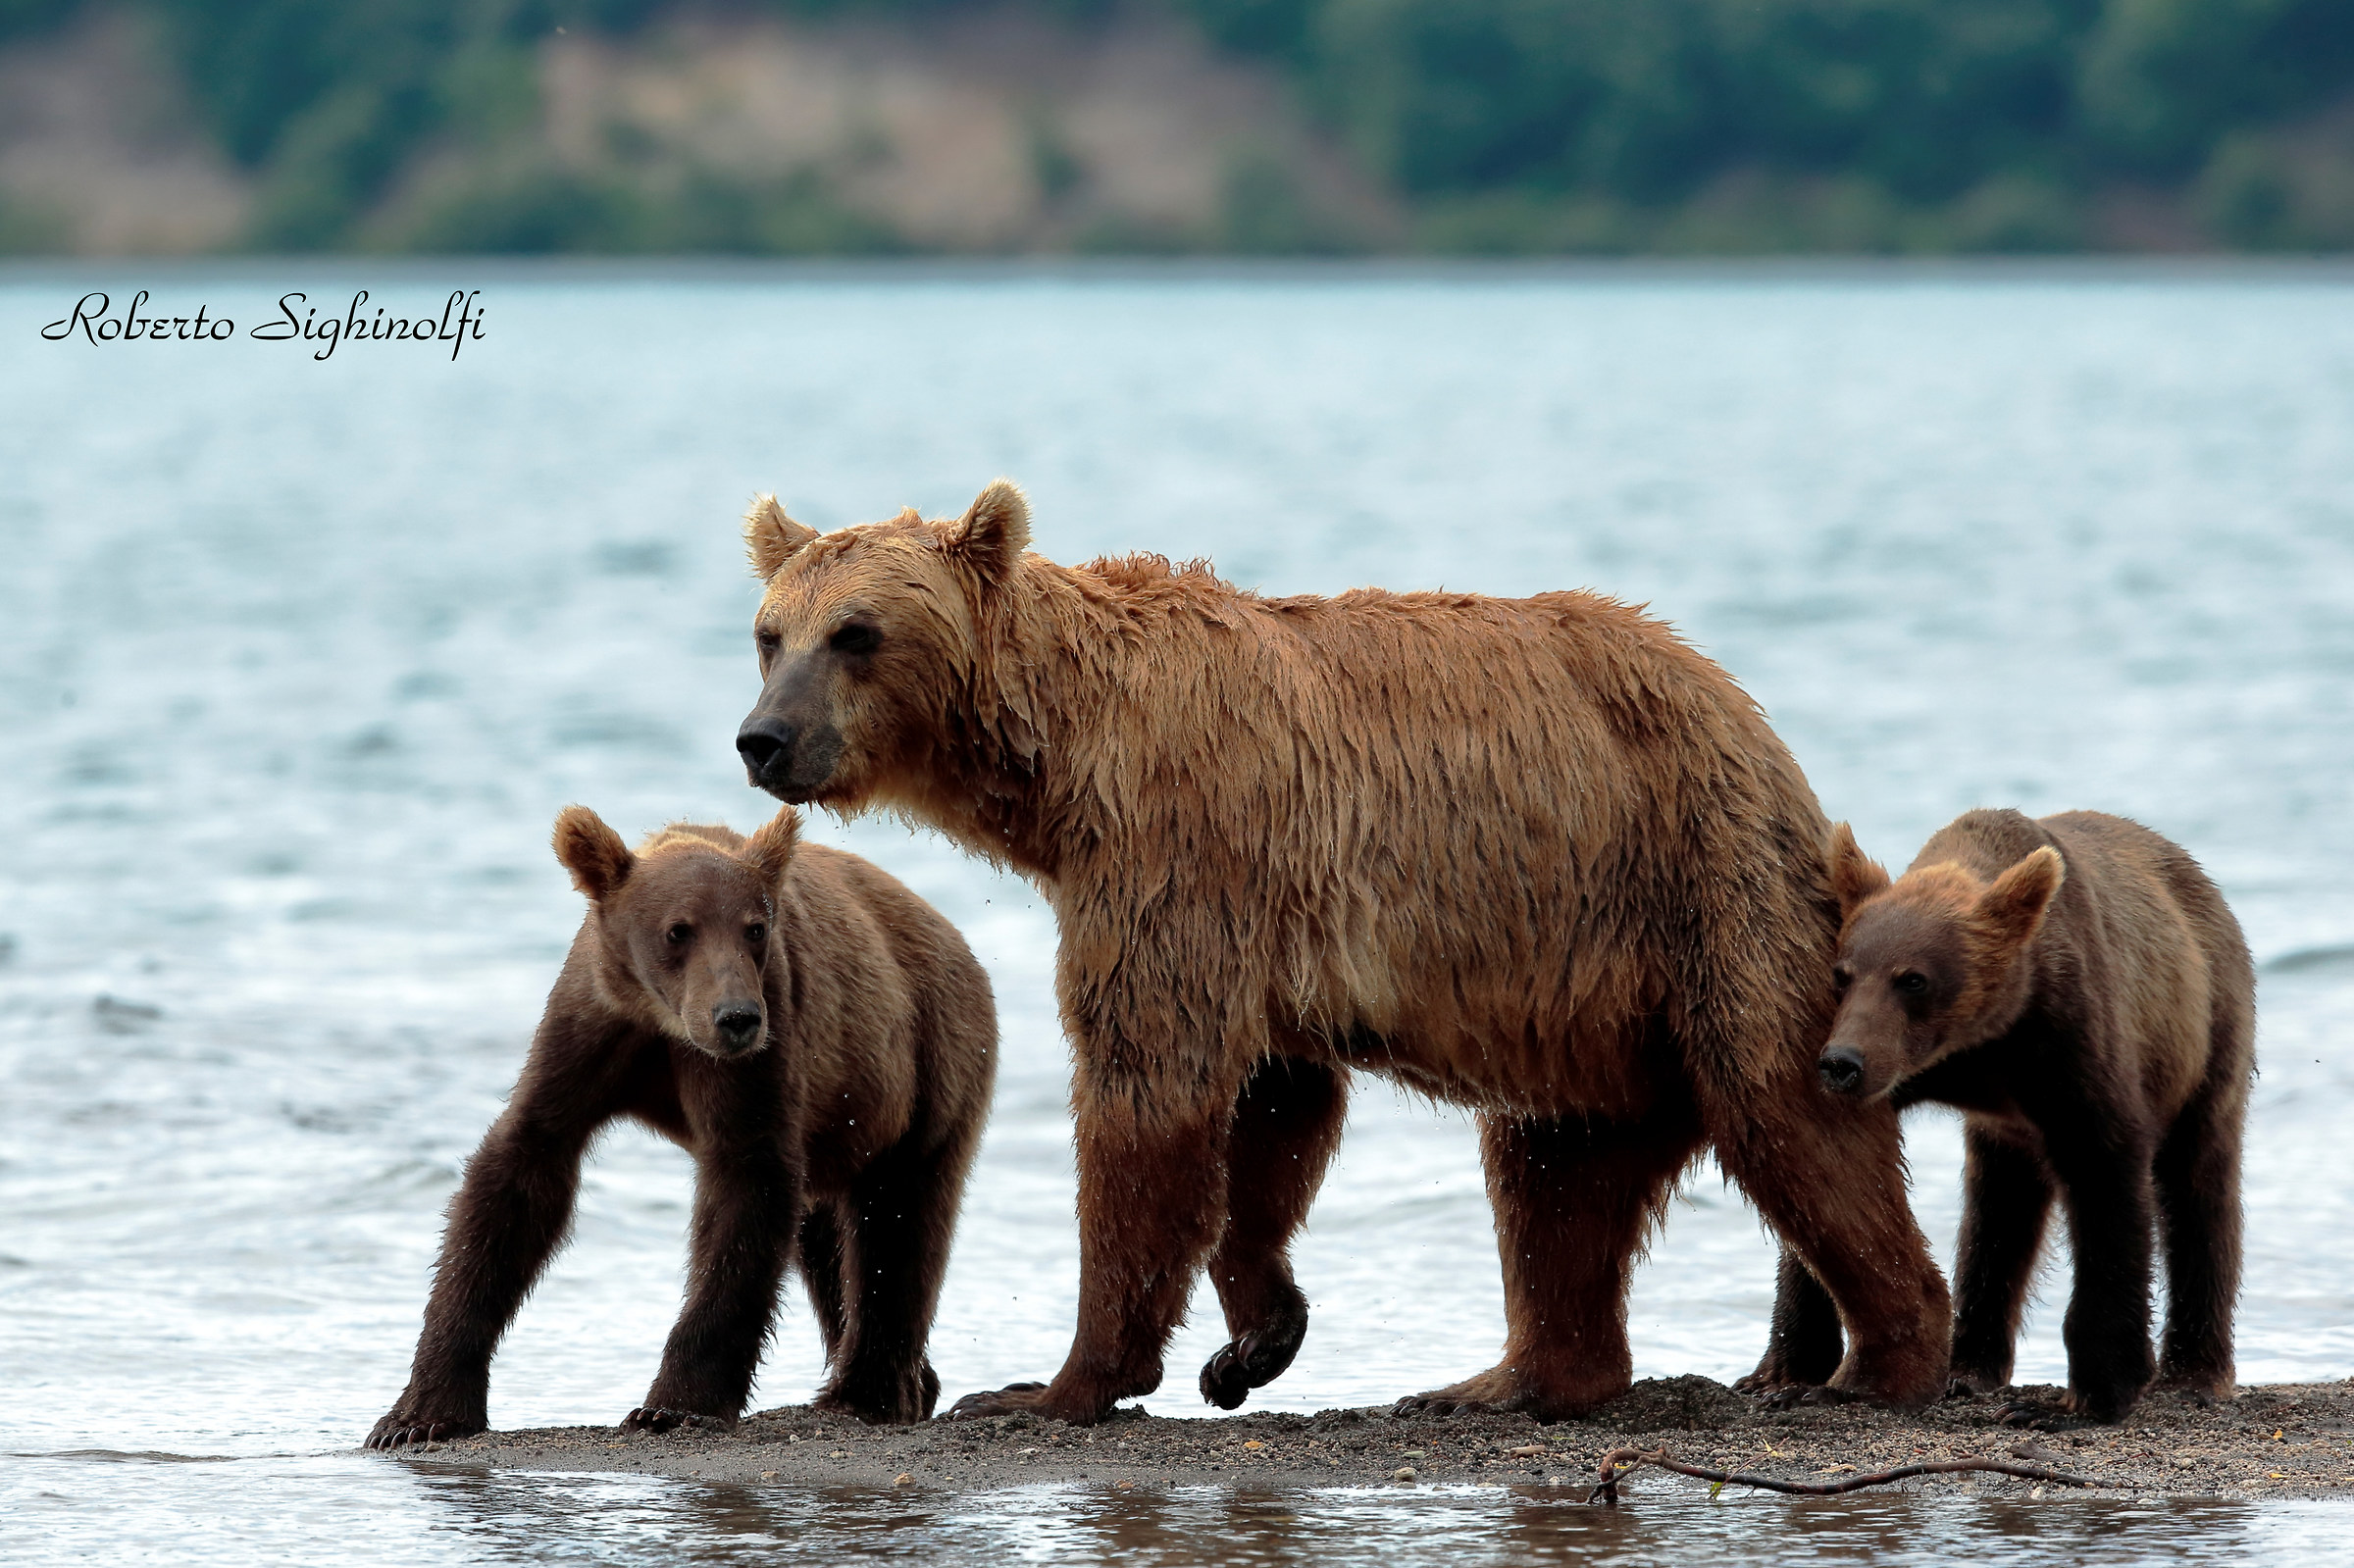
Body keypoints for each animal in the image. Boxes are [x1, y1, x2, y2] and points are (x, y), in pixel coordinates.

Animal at [366, 803, 996, 1448]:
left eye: (755, 929)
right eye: (679, 930)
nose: (736, 1018)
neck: (663, 1018)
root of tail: (950, 934)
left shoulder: (760, 1048)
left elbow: (745, 1187)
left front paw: (672, 1405)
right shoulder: (590, 1029)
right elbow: (520, 1174)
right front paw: (419, 1415)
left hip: (929, 1061)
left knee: (898, 1221)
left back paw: (866, 1393)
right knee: (825, 1238)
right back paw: (909, 1383)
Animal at [727, 478, 1952, 1426]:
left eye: (857, 632)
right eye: (769, 632)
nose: (763, 739)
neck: (1067, 770)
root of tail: (1747, 714)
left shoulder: (1179, 846)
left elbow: (1150, 1089)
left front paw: (1058, 1383)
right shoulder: (1253, 910)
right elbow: (1272, 1109)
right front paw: (1255, 1340)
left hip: (1701, 884)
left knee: (1786, 1110)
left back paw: (1885, 1356)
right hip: (1584, 988)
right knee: (1552, 1171)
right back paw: (1507, 1379)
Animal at [1767, 807, 2254, 1425]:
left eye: (1913, 978)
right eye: (1842, 972)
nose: (1842, 1064)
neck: (1981, 1045)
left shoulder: (2068, 1044)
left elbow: (2107, 1182)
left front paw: (2086, 1397)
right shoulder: (1927, 1073)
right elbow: (1826, 1186)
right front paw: (1790, 1374)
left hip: (2209, 1028)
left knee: (2199, 1187)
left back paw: (2194, 1375)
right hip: (2008, 1132)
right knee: (1998, 1208)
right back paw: (1967, 1368)